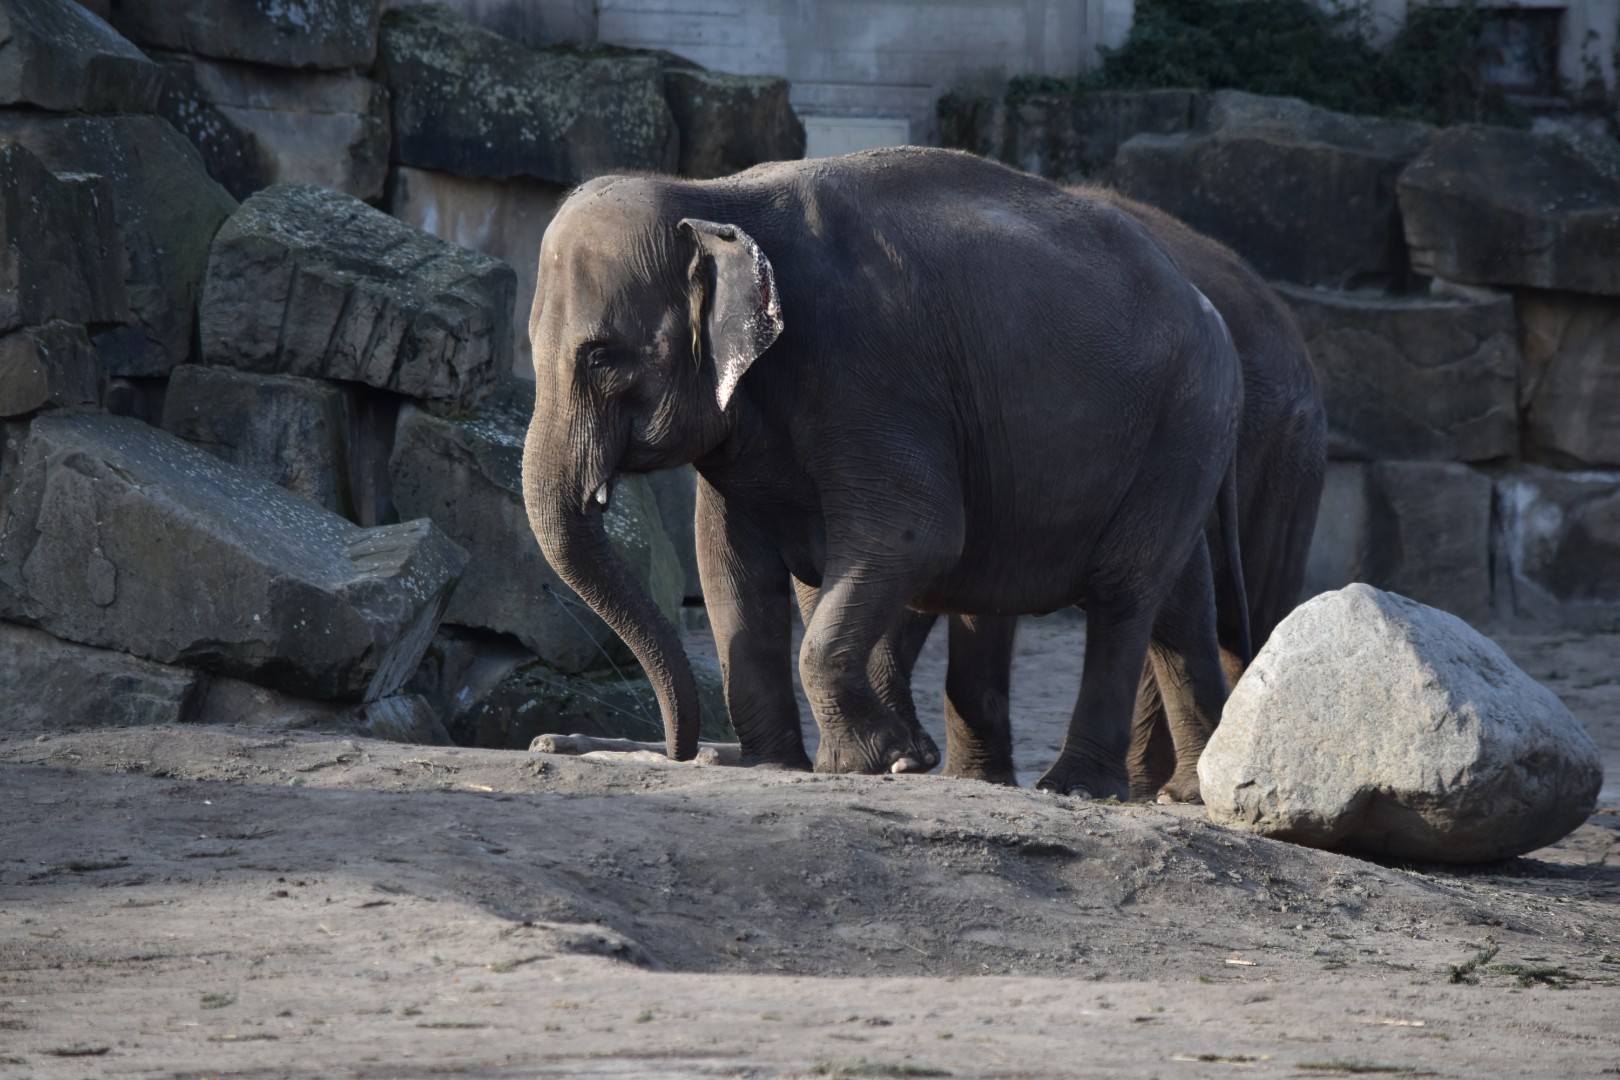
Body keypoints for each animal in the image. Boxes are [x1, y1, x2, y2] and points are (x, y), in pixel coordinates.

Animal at [521, 146, 1246, 799]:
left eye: (602, 358)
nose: (680, 750)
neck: (713, 197)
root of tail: (1207, 304)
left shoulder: (870, 368)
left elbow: (916, 533)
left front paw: (883, 762)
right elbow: (730, 562)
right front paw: (786, 765)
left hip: (1183, 422)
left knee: (1122, 592)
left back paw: (1076, 787)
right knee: (1172, 600)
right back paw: (1183, 789)